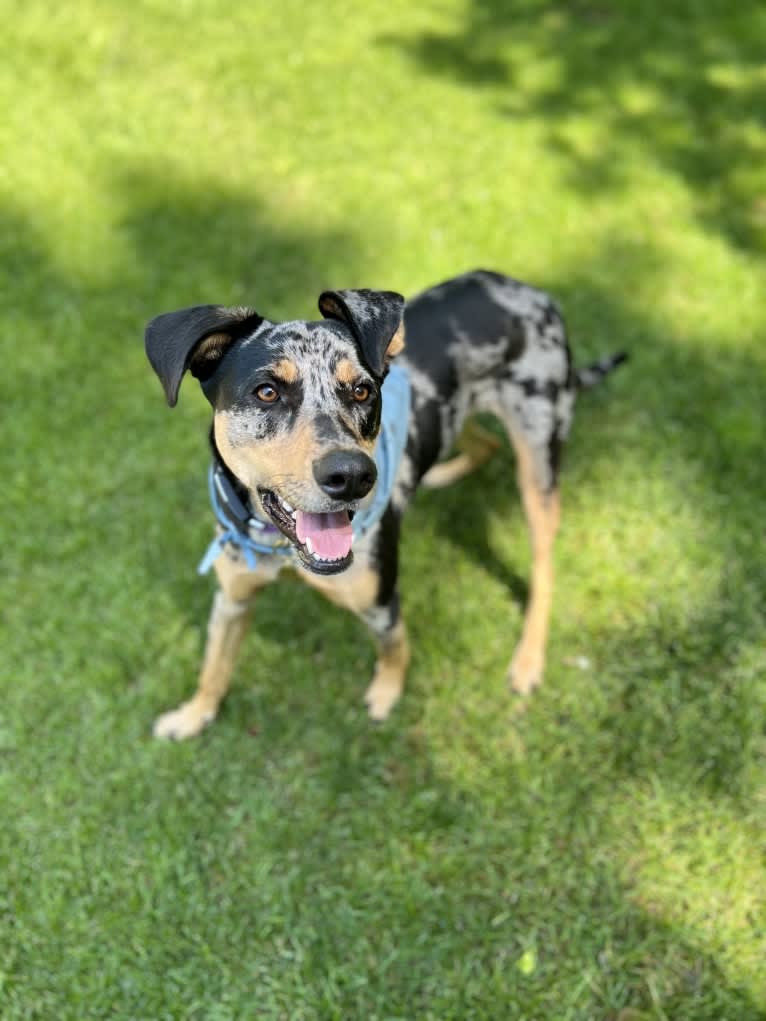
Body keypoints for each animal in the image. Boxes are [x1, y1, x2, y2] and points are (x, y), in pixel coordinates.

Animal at [147, 267, 625, 739]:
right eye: (266, 392)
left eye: (362, 391)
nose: (353, 476)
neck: (281, 549)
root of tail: (535, 294)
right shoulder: (232, 598)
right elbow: (214, 665)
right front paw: (192, 714)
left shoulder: (382, 603)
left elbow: (396, 649)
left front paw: (386, 694)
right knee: (483, 444)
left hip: (539, 459)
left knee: (544, 569)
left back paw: (528, 659)